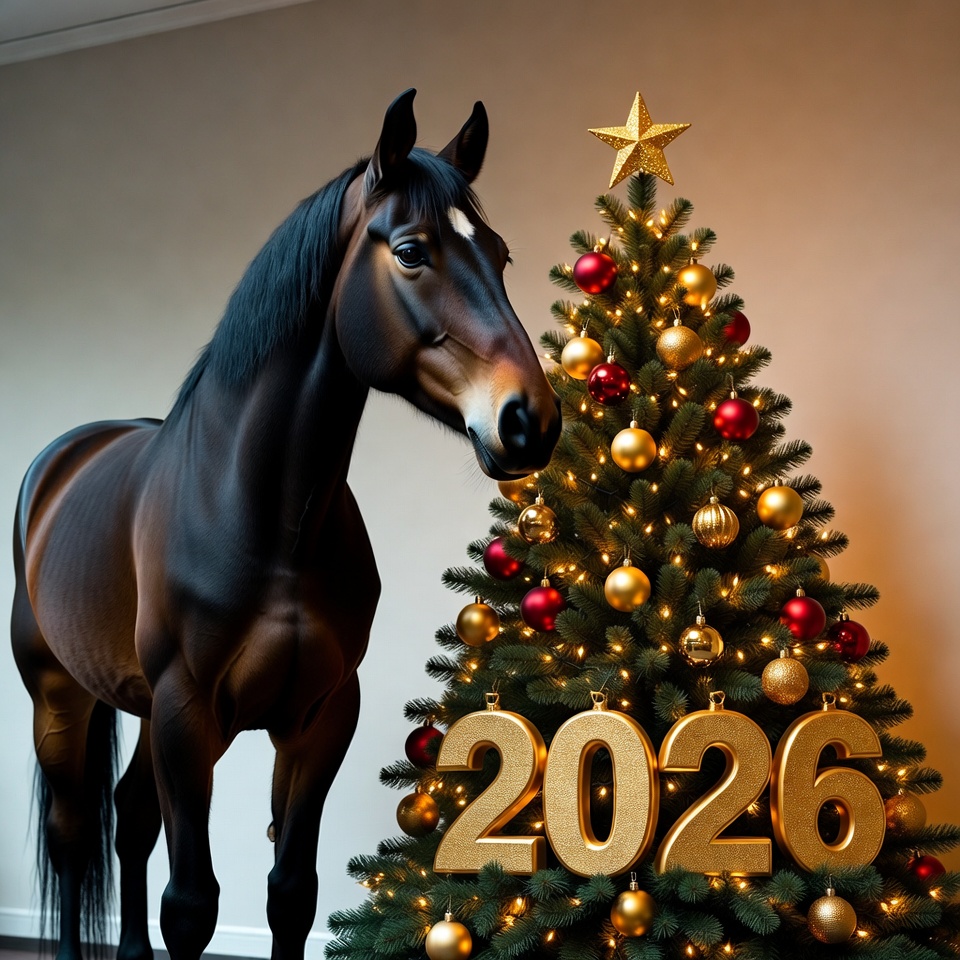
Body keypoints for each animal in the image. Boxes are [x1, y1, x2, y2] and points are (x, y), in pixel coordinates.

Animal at [11, 88, 561, 960]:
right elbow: (191, 905)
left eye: (500, 255)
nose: (529, 421)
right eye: (412, 252)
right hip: (58, 693)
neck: (268, 519)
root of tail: (60, 461)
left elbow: (291, 894)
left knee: (128, 820)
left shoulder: (319, 718)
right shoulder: (187, 717)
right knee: (71, 838)